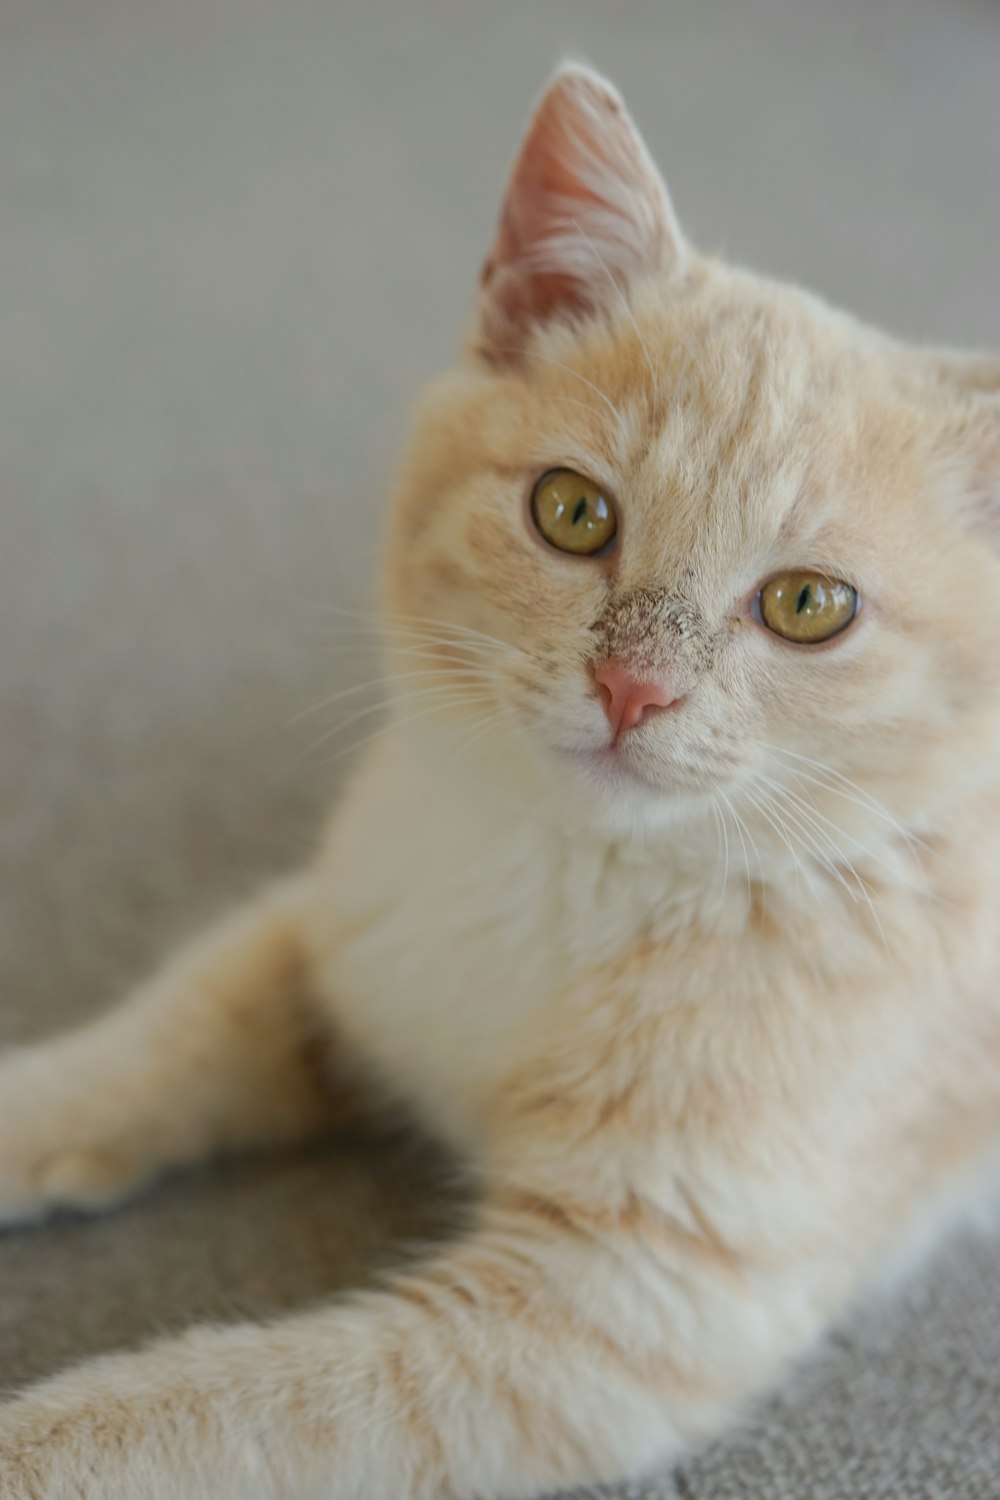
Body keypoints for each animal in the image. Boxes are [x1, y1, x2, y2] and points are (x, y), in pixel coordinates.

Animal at [1, 58, 1000, 1500]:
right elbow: (138, 1054)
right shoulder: (325, 940)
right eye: (574, 513)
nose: (633, 690)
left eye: (809, 606)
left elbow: (211, 1409)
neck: (567, 876)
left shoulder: (605, 1313)